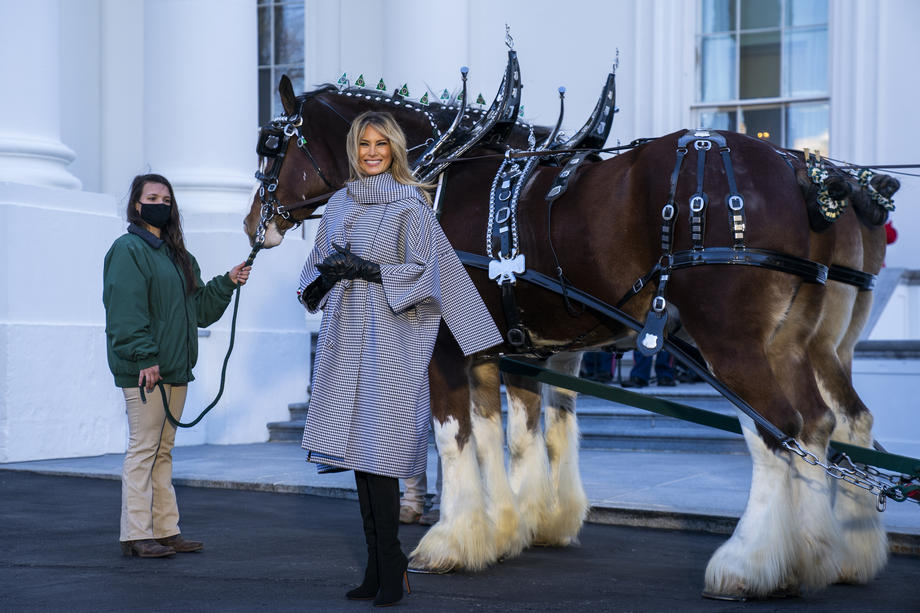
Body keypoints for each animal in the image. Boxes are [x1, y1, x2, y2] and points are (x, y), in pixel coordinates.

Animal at [246, 77, 900, 596]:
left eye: (270, 146)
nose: (254, 222)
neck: (433, 176)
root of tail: (803, 171)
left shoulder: (449, 348)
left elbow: (459, 439)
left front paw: (451, 541)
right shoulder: (518, 349)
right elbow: (515, 434)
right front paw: (515, 527)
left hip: (731, 340)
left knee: (779, 431)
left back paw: (749, 563)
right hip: (803, 343)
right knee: (828, 423)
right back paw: (824, 556)